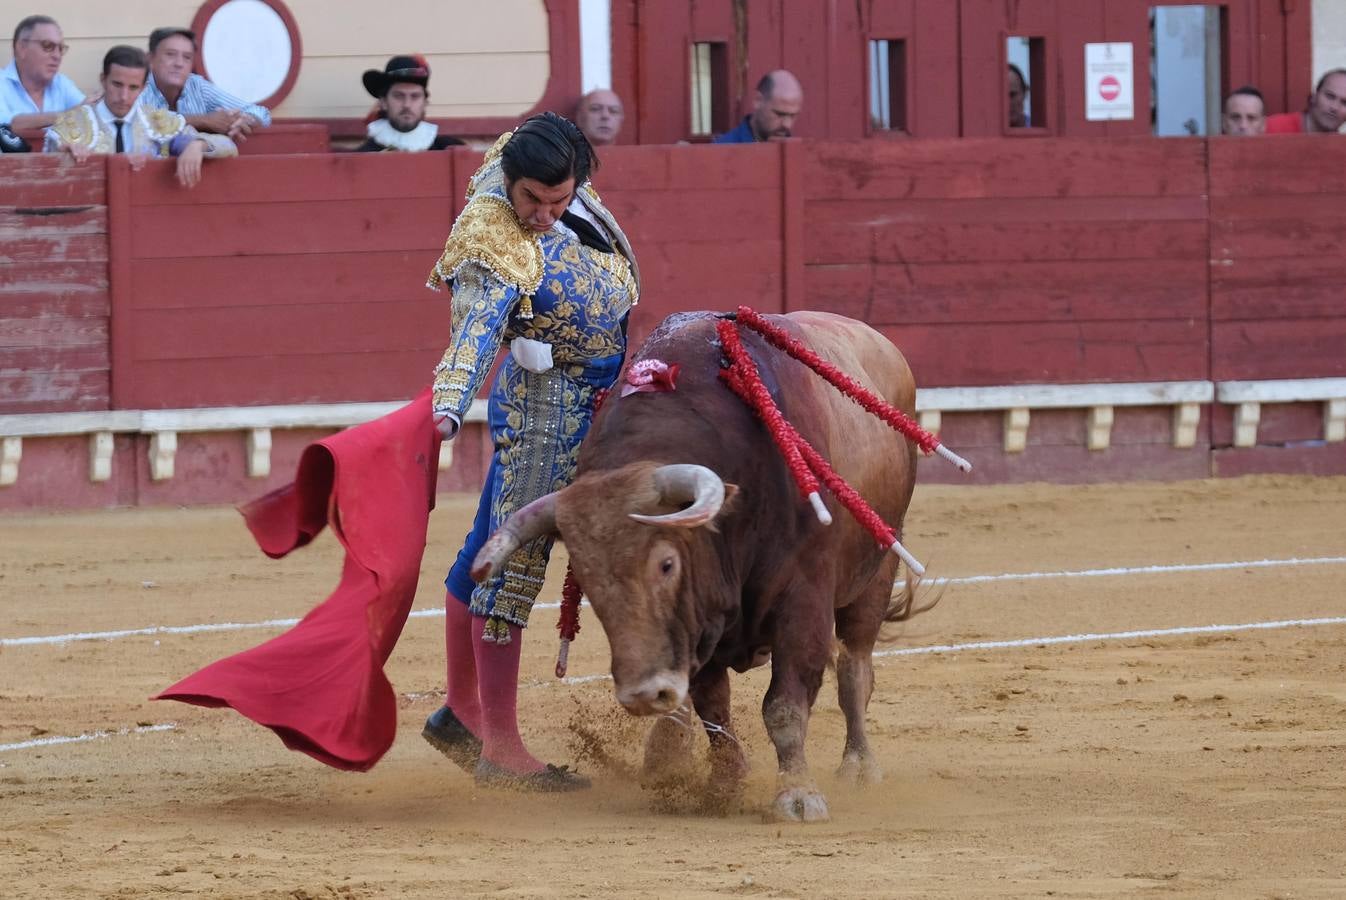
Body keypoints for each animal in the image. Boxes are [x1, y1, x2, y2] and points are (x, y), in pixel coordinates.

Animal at [471, 310, 926, 823]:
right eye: (586, 580)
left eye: (667, 564)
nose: (643, 695)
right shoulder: (700, 620)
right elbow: (715, 709)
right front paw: (722, 786)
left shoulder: (802, 600)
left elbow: (785, 705)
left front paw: (797, 795)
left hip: (878, 569)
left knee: (855, 669)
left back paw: (859, 767)